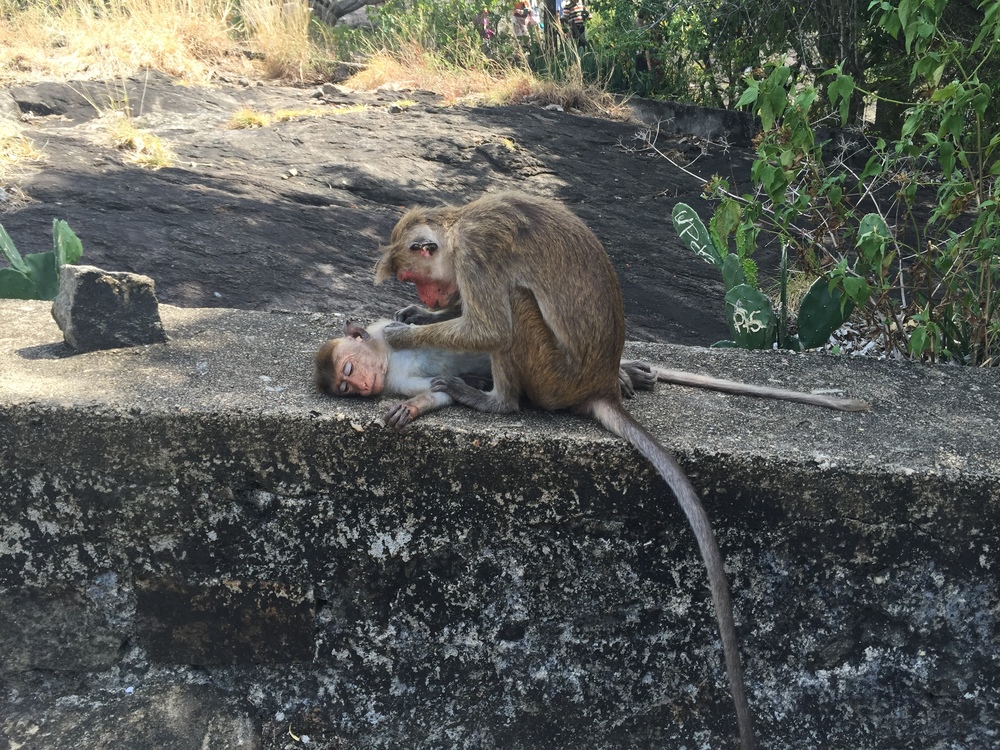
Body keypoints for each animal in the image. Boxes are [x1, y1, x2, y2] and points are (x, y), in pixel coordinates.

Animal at [373, 190, 770, 750]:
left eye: (416, 276)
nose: (426, 297)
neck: (457, 226)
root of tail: (596, 386)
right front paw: (418, 316)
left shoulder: (477, 256)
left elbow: (489, 326)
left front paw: (406, 330)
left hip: (551, 372)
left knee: (515, 309)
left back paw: (495, 401)